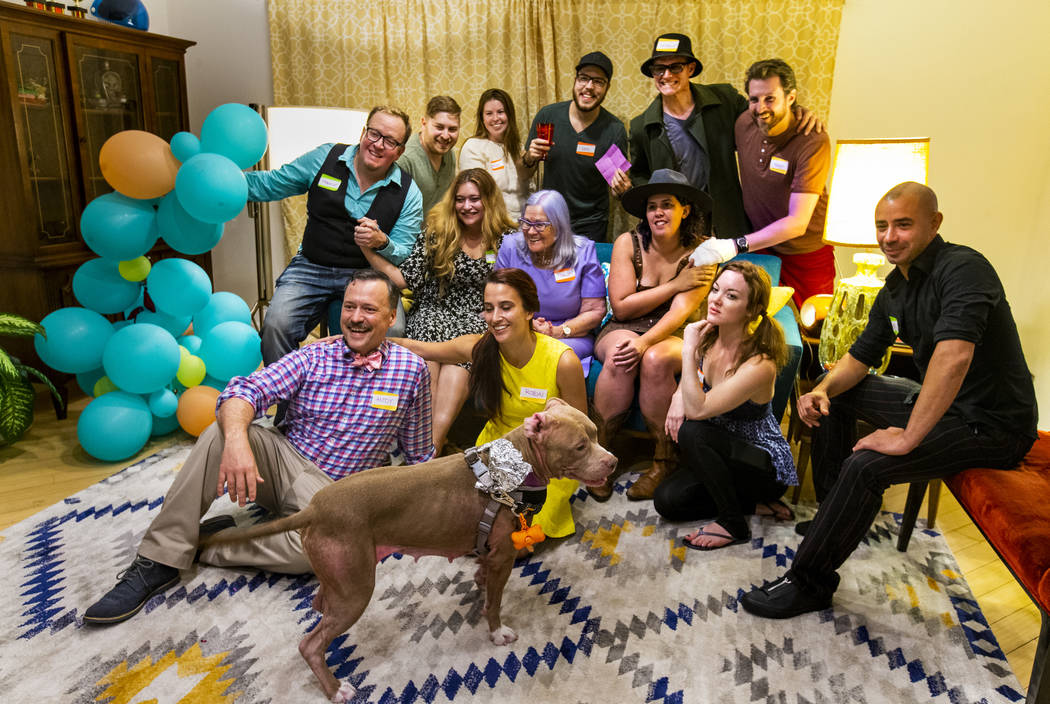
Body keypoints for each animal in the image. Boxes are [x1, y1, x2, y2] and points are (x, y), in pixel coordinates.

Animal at [200, 399, 613, 701]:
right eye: (580, 446)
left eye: (596, 433)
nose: (613, 461)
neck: (513, 464)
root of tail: (315, 507)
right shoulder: (503, 557)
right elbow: (494, 604)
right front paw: (497, 633)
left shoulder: (490, 554)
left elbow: (483, 580)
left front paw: (478, 585)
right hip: (355, 589)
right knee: (311, 643)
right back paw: (336, 689)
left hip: (340, 578)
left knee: (320, 605)